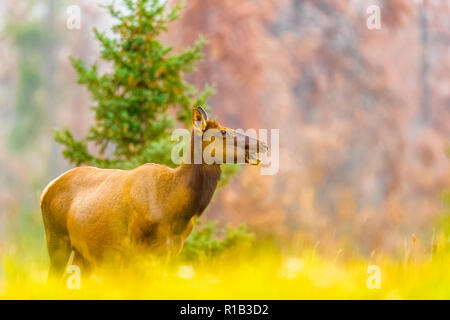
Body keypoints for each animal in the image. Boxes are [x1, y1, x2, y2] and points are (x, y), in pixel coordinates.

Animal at [39, 106, 268, 278]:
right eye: (223, 132)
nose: (263, 144)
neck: (173, 207)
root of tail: (46, 189)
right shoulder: (136, 248)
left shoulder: (173, 250)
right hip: (57, 240)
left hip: (83, 253)